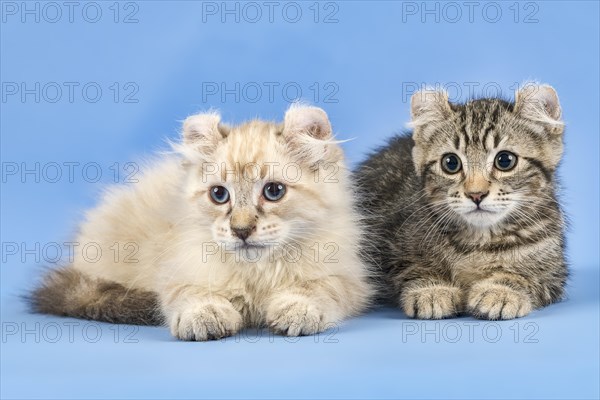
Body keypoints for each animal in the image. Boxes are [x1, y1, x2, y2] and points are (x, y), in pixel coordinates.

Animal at [32, 104, 372, 340]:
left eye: (274, 192)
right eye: (219, 195)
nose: (241, 230)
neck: (258, 274)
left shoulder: (346, 277)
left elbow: (317, 289)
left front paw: (296, 309)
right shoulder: (178, 273)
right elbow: (192, 295)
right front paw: (206, 316)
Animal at [356, 83, 568, 318]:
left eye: (505, 160)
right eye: (451, 163)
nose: (476, 194)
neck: (480, 240)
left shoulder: (554, 273)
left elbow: (527, 277)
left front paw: (501, 290)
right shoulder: (391, 255)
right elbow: (412, 268)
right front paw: (432, 289)